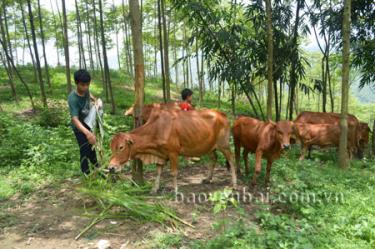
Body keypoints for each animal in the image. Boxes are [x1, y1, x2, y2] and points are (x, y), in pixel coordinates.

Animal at [109, 108, 238, 193]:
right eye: (111, 147)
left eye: (121, 147)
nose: (111, 167)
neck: (156, 129)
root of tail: (222, 114)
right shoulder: (161, 155)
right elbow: (158, 171)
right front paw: (154, 189)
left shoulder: (173, 153)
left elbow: (174, 172)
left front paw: (175, 190)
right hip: (210, 146)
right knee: (214, 158)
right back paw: (208, 178)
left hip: (224, 144)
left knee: (232, 160)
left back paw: (234, 184)